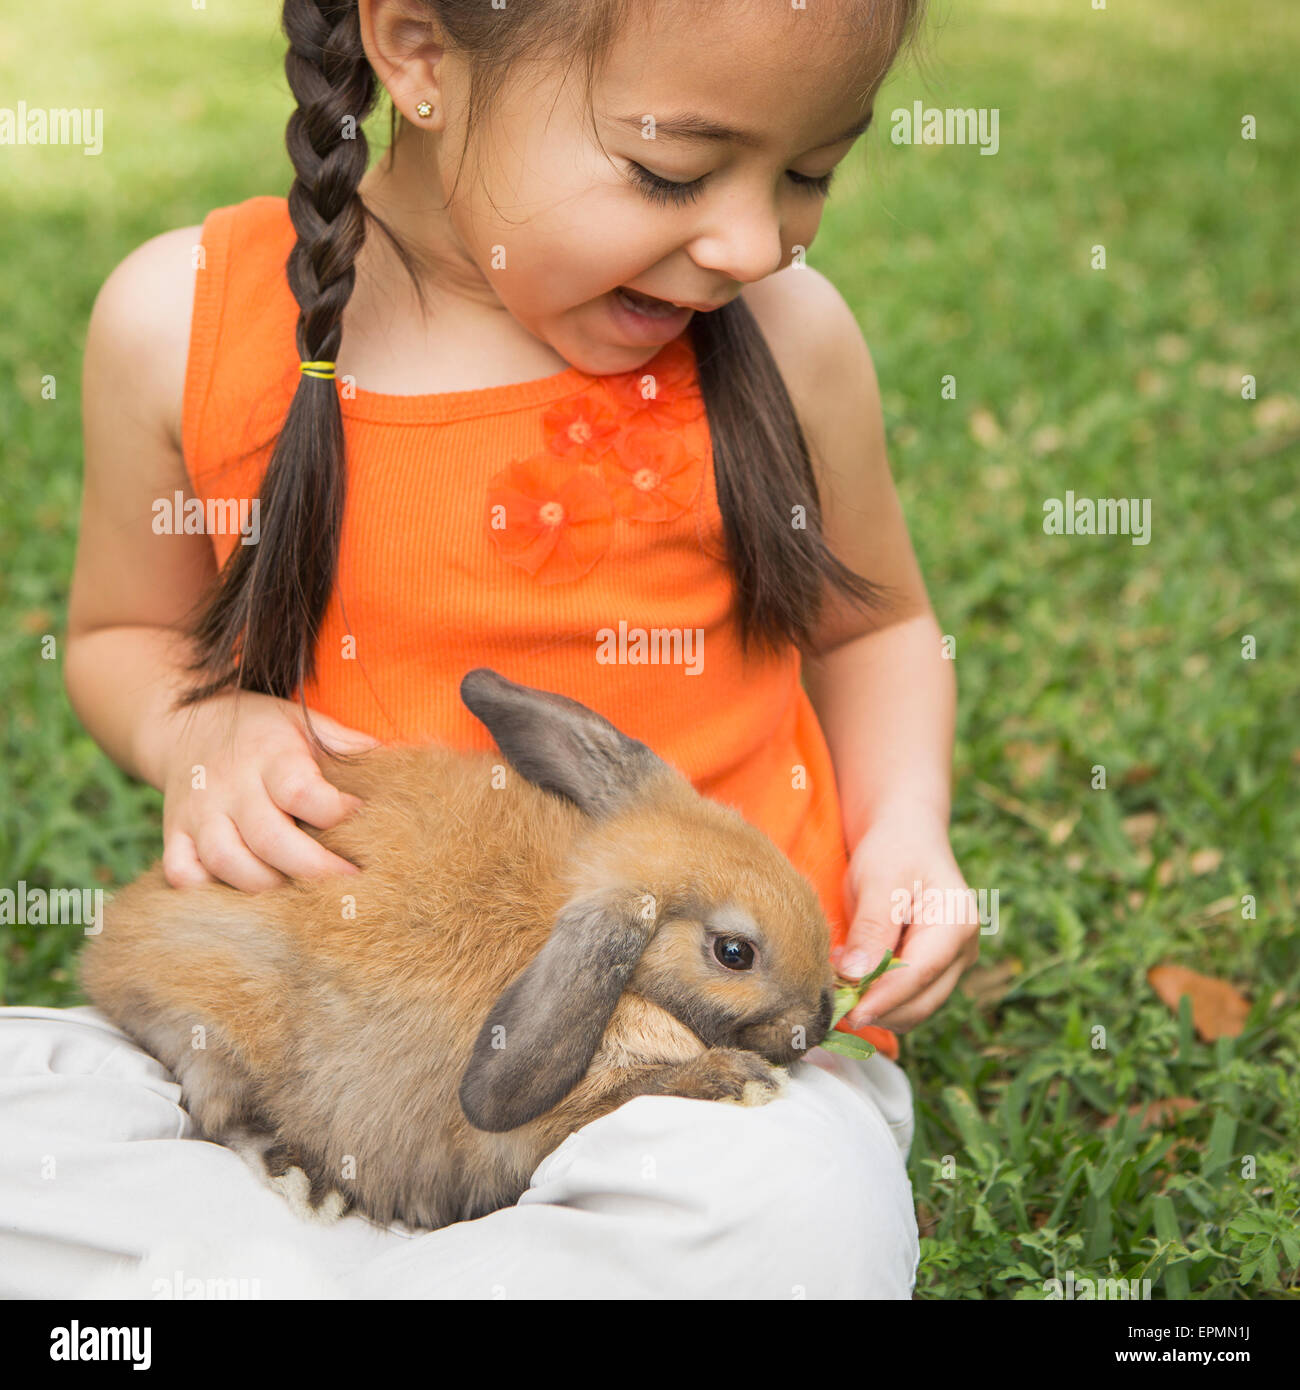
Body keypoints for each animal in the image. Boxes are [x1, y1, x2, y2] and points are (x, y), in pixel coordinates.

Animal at [78, 669, 834, 1228]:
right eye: (734, 953)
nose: (822, 1020)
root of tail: (110, 952)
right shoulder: (548, 1118)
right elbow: (632, 1093)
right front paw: (740, 1080)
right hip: (216, 1025)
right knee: (221, 1111)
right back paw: (310, 1182)